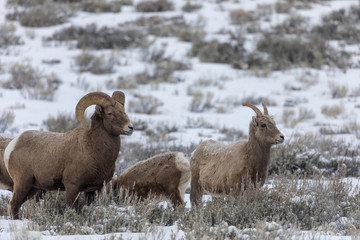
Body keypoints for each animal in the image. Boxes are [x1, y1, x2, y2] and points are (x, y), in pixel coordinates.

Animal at [3, 91, 134, 218]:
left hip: (33, 188)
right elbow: (73, 210)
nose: (130, 127)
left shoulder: (93, 190)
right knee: (13, 205)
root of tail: (12, 146)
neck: (93, 150)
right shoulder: (72, 187)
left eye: (124, 111)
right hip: (23, 184)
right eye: (110, 113)